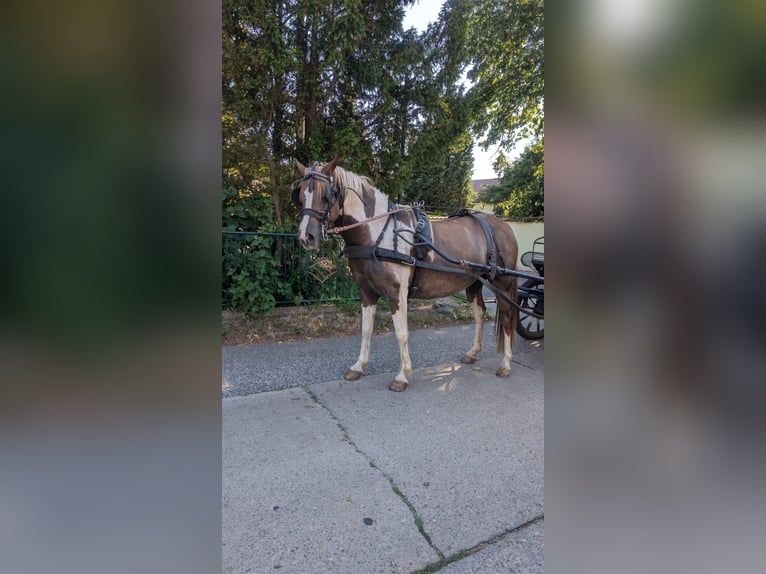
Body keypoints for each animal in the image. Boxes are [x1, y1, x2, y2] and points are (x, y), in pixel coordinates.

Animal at [292, 157, 519, 392]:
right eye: (300, 196)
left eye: (325, 195)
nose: (305, 237)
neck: (377, 233)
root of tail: (503, 225)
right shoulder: (366, 292)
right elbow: (365, 329)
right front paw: (358, 366)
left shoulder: (396, 293)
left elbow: (401, 333)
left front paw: (402, 375)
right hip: (474, 282)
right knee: (480, 313)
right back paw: (473, 353)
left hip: (503, 282)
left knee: (508, 316)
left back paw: (506, 363)